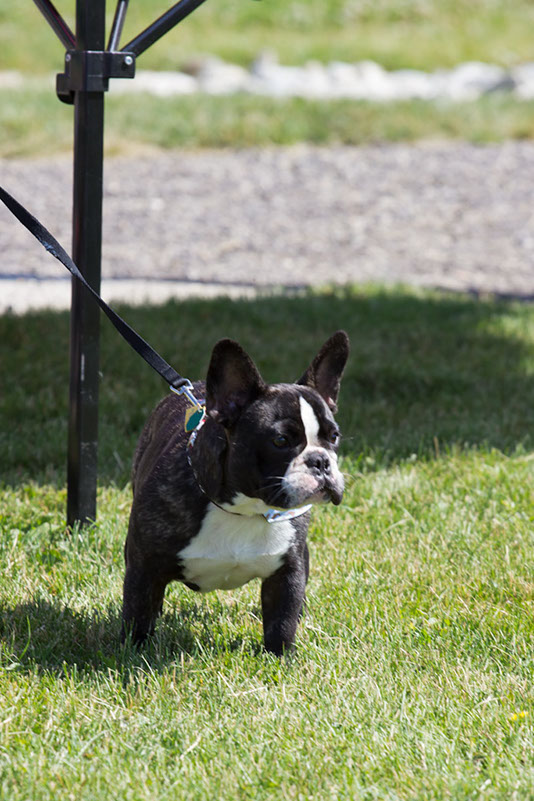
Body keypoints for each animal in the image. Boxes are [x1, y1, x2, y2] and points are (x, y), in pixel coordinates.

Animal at [123, 328, 354, 652]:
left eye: (333, 436)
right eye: (281, 440)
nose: (320, 461)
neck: (244, 509)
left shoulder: (288, 572)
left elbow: (282, 621)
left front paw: (281, 656)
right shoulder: (143, 566)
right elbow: (138, 614)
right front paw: (133, 652)